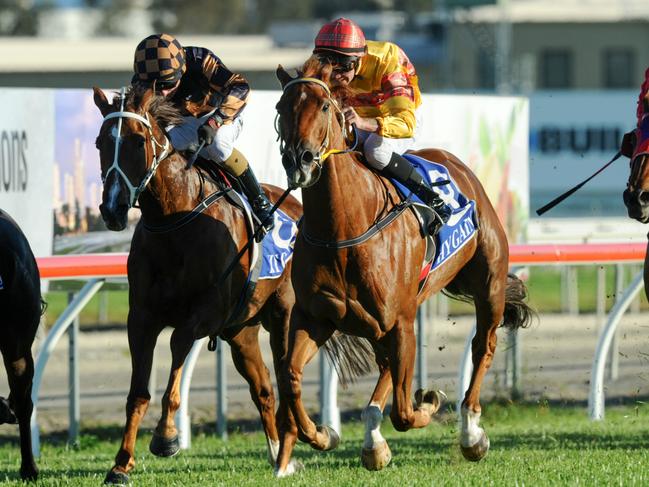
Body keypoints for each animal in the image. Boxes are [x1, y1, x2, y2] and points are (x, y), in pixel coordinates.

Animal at [90, 86, 306, 486]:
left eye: (138, 140)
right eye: (101, 142)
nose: (112, 209)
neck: (174, 220)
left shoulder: (204, 312)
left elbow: (177, 353)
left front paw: (166, 438)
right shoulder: (141, 317)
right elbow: (137, 393)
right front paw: (121, 464)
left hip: (284, 314)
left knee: (286, 377)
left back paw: (293, 448)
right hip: (241, 329)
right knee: (264, 388)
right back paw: (277, 455)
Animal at [274, 60, 532, 476]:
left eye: (325, 106)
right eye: (282, 107)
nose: (300, 161)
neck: (343, 228)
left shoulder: (400, 321)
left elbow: (405, 412)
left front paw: (429, 401)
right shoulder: (315, 317)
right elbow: (291, 376)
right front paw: (322, 434)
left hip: (487, 285)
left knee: (483, 347)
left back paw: (471, 434)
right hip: (385, 323)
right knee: (385, 368)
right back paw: (372, 440)